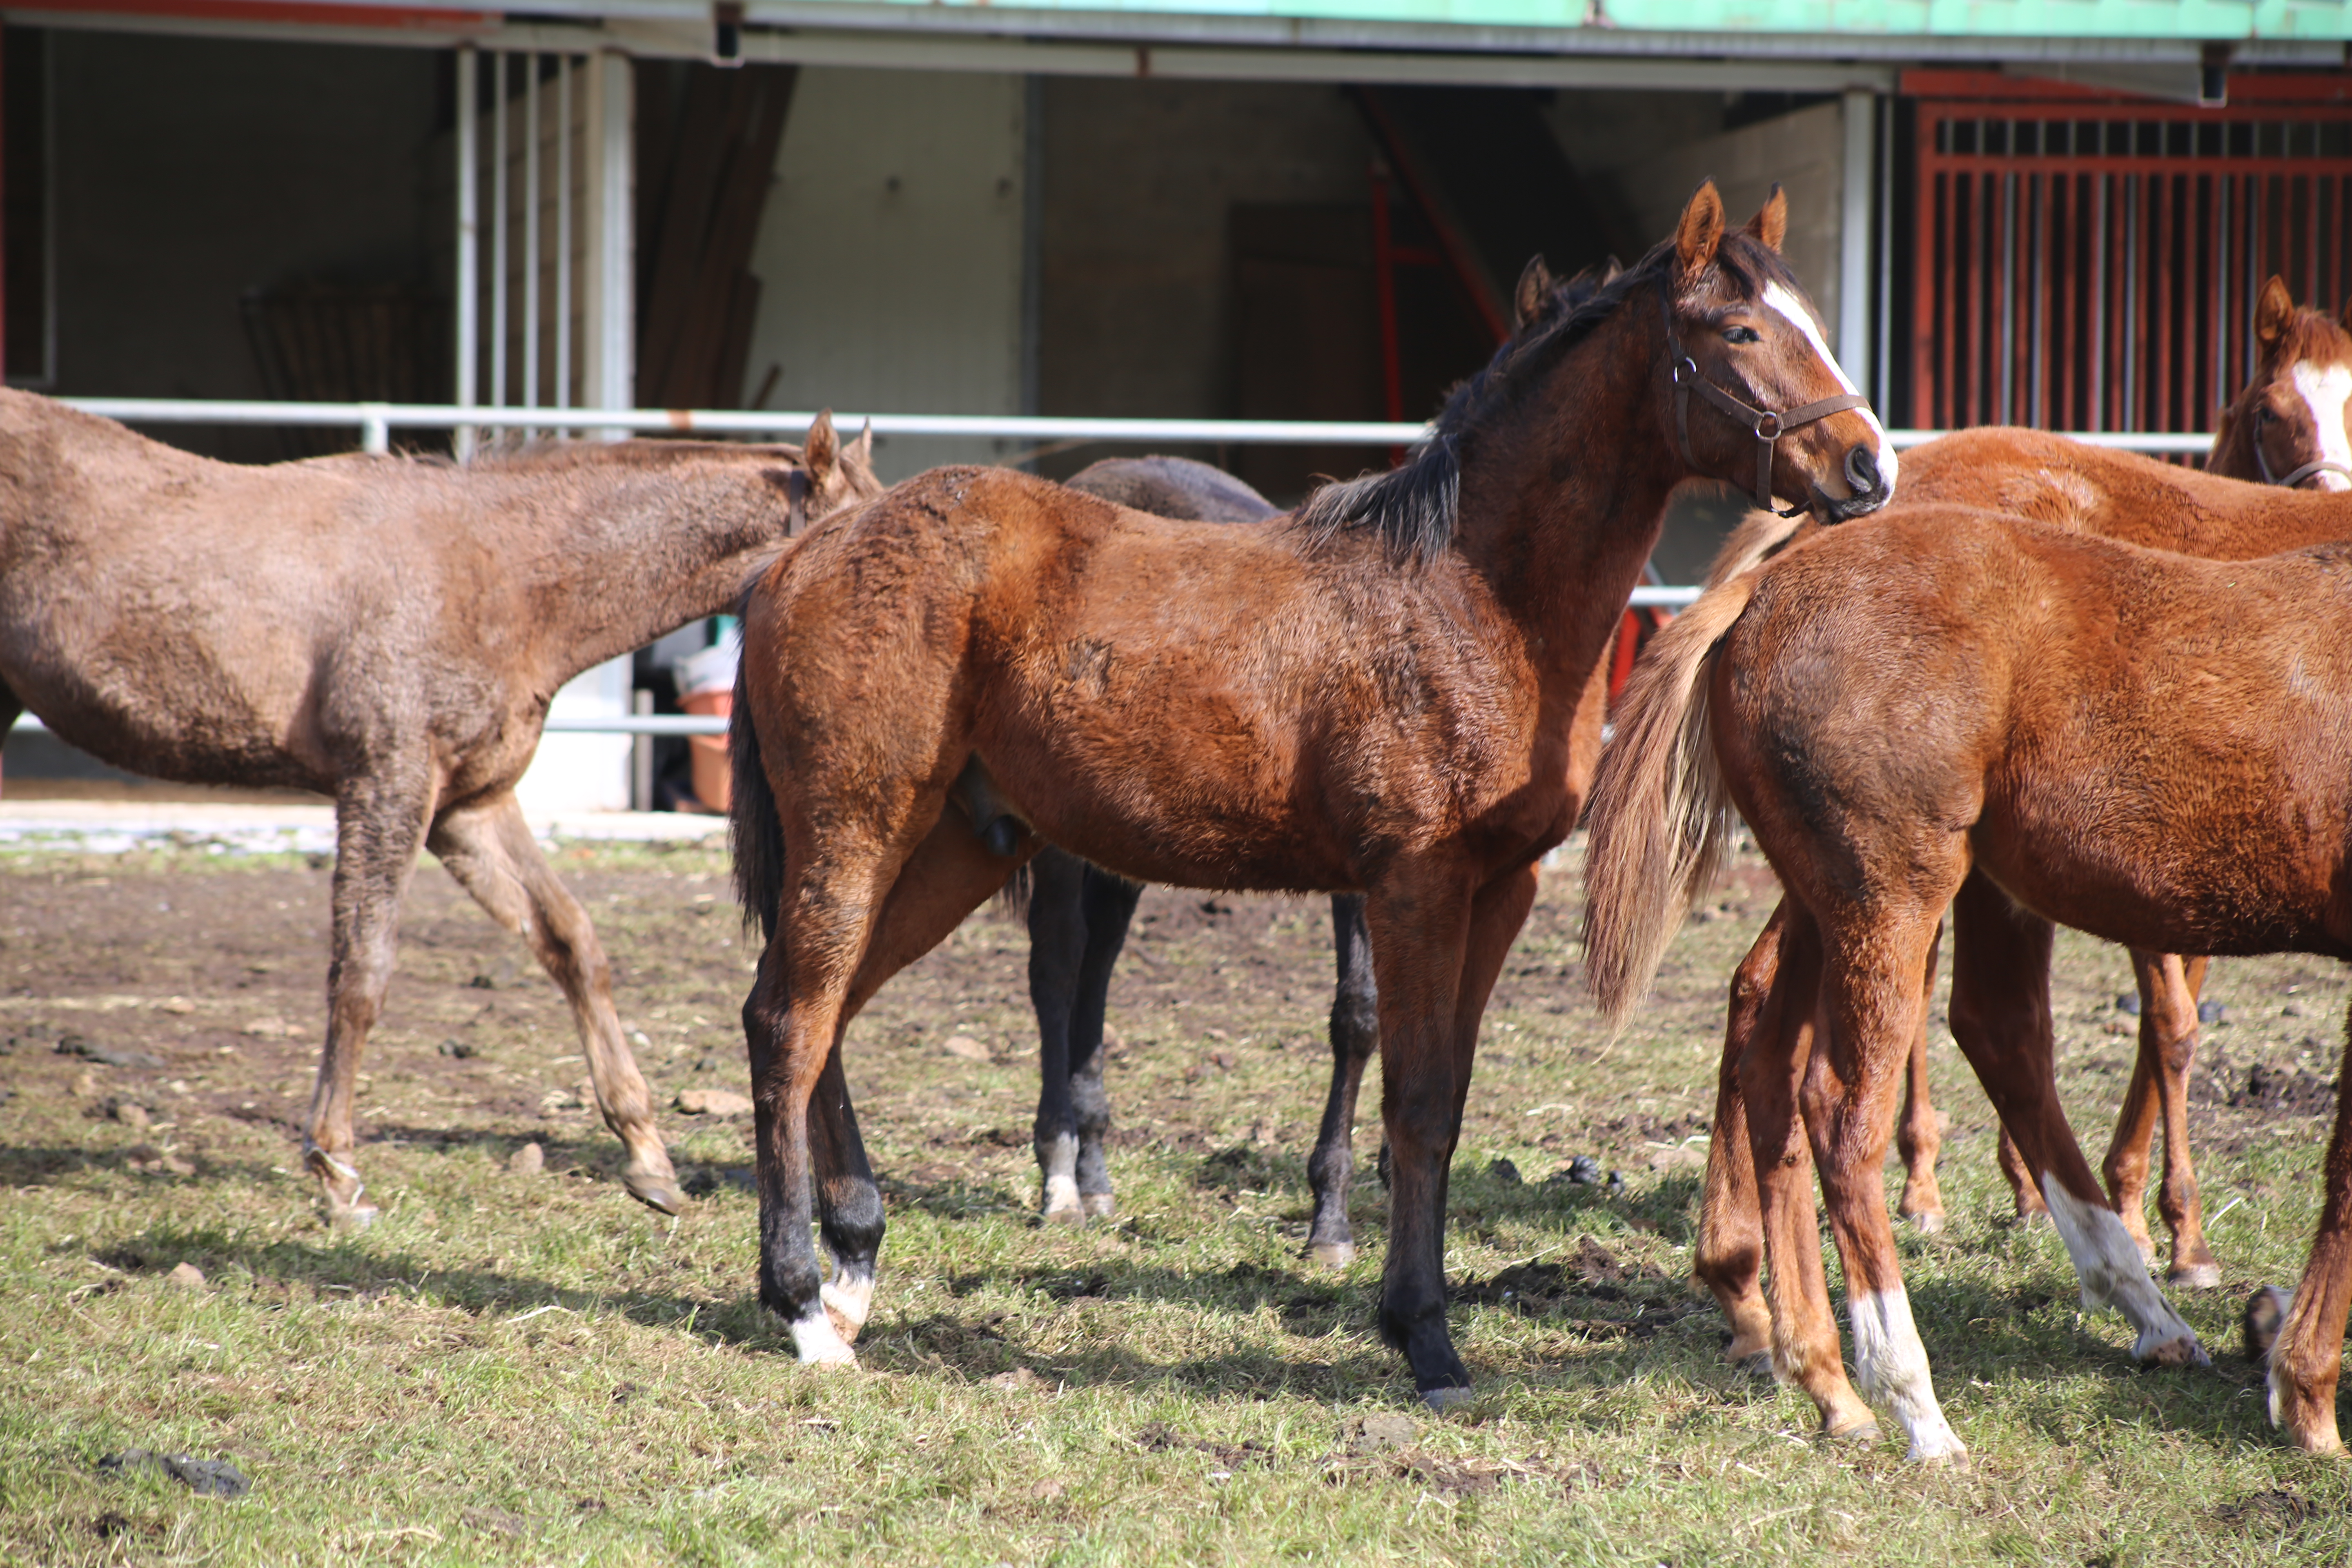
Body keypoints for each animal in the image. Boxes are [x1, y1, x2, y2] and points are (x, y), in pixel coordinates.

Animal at [0, 392, 884, 1222]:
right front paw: (336, 1171)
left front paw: (649, 1158)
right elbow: (362, 970)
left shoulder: (470, 806)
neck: (499, 574)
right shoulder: (388, 783)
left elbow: (572, 943)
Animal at [729, 181, 1891, 1401]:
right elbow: (1415, 1103)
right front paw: (1424, 1337)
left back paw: (855, 1266)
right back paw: (802, 1300)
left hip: (958, 844)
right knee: (788, 1021)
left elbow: (1445, 1101)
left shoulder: (1499, 890)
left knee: (828, 1012)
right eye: (1739, 330)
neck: (1471, 590)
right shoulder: (1412, 886)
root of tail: (802, 554)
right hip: (856, 830)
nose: (1870, 468)